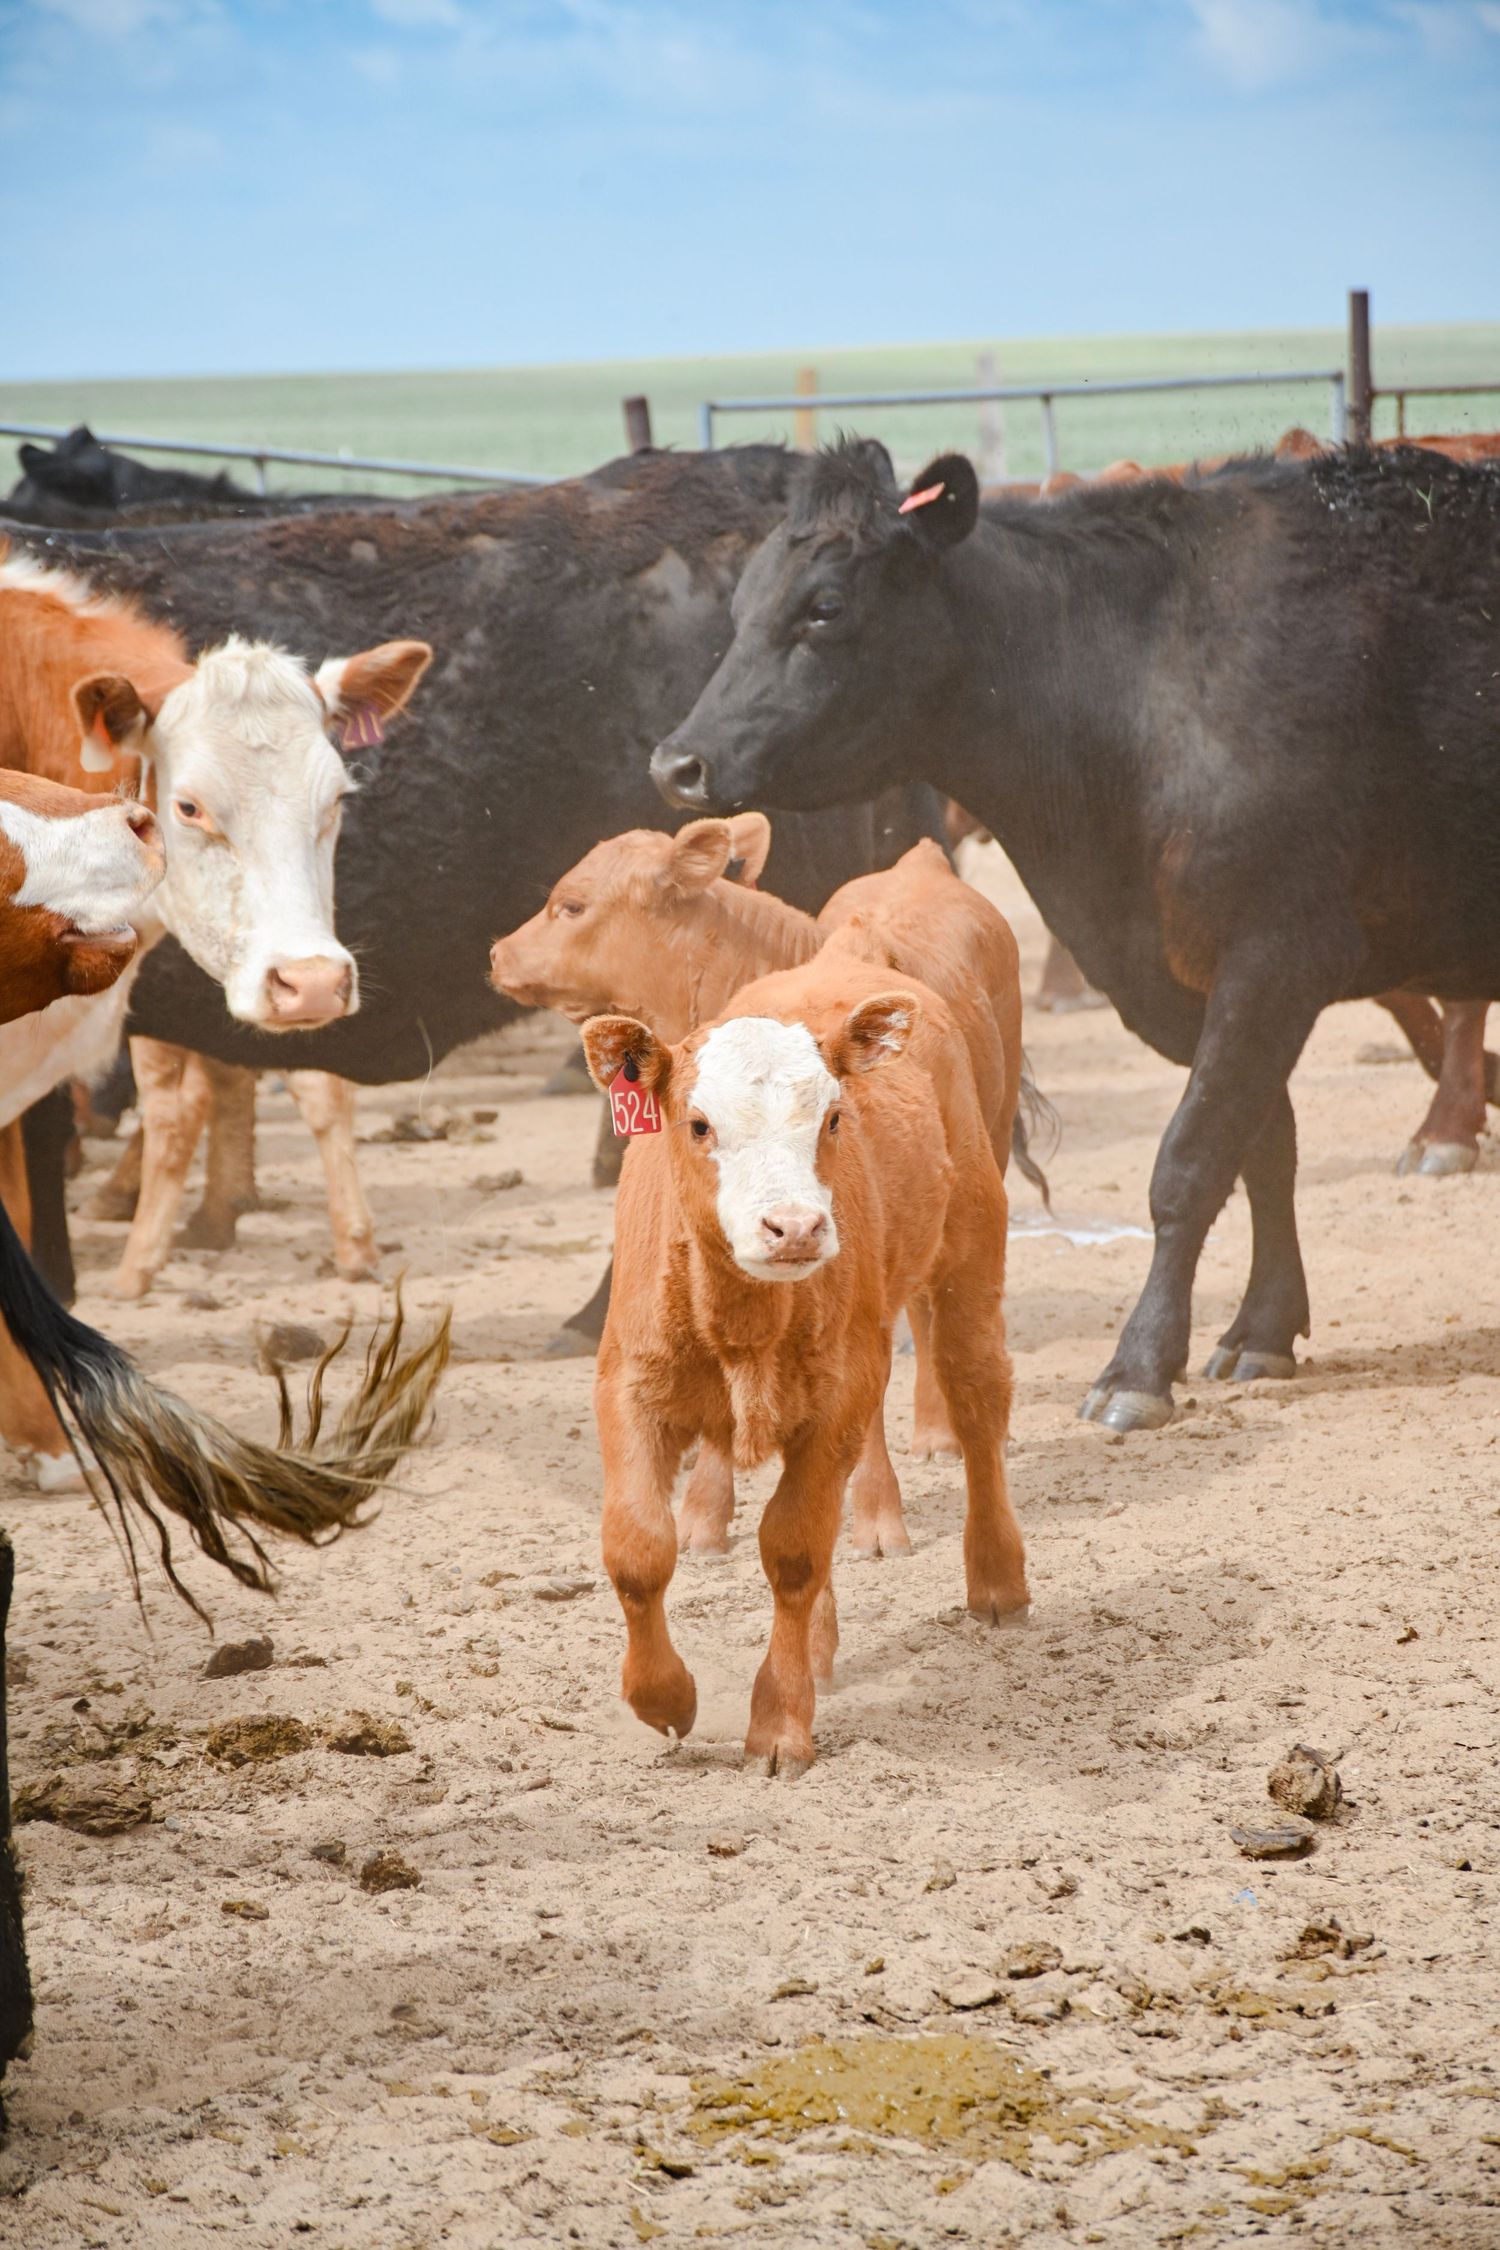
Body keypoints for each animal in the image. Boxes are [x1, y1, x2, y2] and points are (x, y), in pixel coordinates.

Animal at [581, 957, 1027, 1778]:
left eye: (832, 1119)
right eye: (699, 1124)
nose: (794, 1228)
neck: (742, 1321)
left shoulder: (837, 1400)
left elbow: (792, 1552)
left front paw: (780, 1725)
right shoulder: (628, 1386)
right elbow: (638, 1547)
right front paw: (664, 1699)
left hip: (971, 1249)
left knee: (978, 1399)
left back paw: (997, 1579)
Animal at [652, 436, 1500, 1432]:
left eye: (824, 606)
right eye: (742, 604)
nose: (678, 762)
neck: (1143, 687)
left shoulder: (1279, 955)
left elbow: (1191, 1161)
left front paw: (1140, 1367)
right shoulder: (1179, 982)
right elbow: (1263, 1149)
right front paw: (1262, 1328)